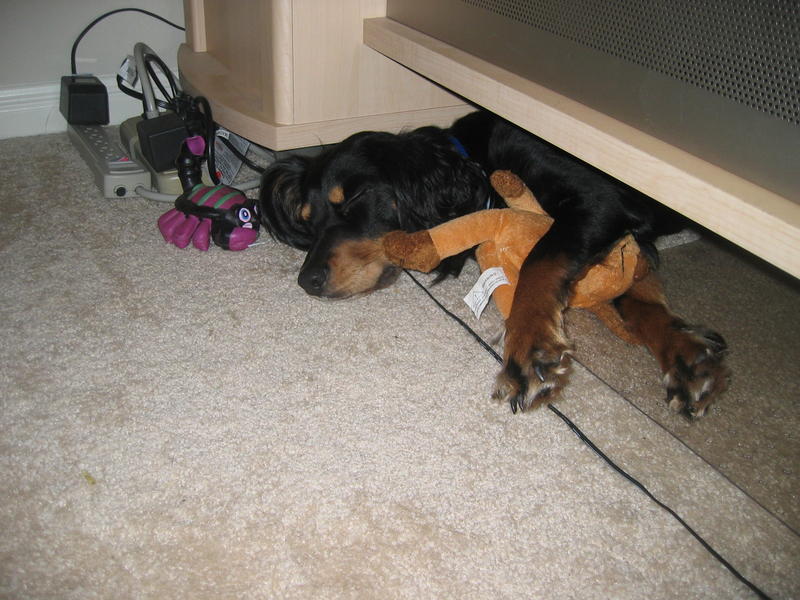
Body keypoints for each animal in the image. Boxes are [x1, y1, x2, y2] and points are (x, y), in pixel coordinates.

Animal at [260, 110, 728, 418]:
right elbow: (637, 299)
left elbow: (542, 262)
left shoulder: (602, 200)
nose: (308, 280)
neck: (478, 163)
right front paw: (687, 356)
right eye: (309, 218)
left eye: (355, 198)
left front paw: (530, 347)